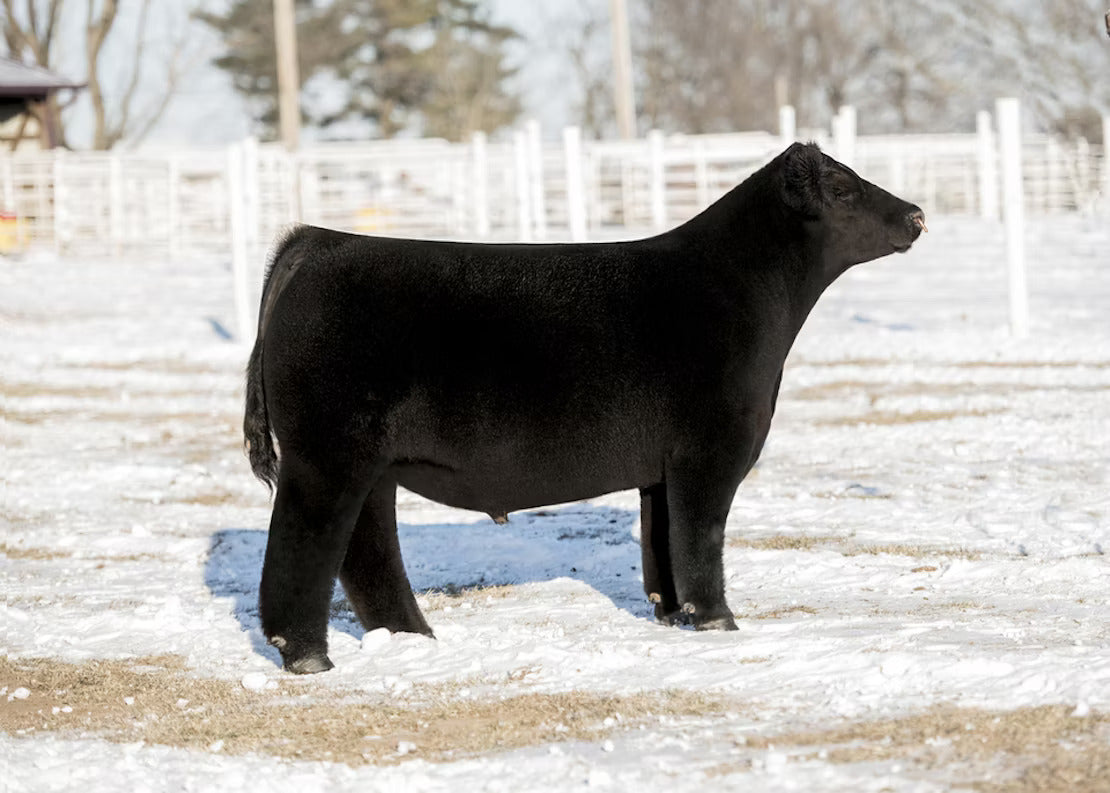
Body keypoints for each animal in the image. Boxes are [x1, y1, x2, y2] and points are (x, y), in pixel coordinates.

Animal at [243, 142, 926, 673]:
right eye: (842, 188)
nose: (917, 214)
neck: (740, 290)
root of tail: (316, 243)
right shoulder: (709, 452)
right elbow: (700, 539)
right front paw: (719, 624)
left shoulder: (661, 470)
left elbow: (661, 547)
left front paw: (675, 618)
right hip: (326, 456)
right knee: (304, 547)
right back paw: (310, 656)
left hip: (370, 465)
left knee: (367, 550)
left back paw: (414, 638)